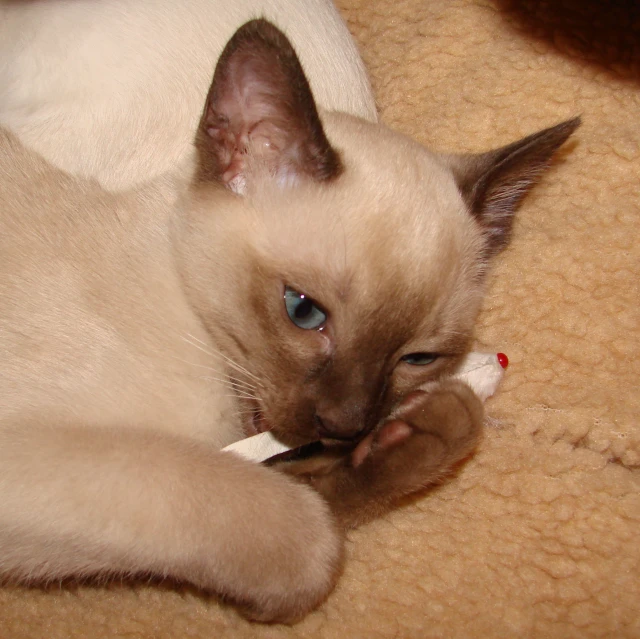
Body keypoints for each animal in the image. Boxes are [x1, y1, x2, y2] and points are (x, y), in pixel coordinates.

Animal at [0, 13, 580, 624]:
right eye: (303, 311)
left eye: (419, 358)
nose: (345, 424)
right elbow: (307, 536)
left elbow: (312, 489)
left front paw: (415, 434)